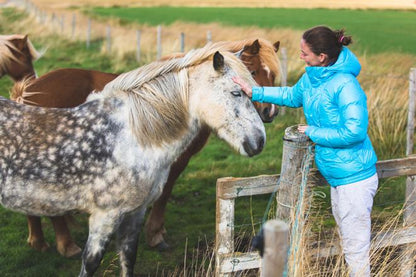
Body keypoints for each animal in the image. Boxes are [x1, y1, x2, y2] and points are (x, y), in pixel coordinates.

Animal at [10, 37, 282, 256]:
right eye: (252, 71)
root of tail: (28, 92)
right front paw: (155, 235)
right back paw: (67, 246)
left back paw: (38, 240)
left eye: (272, 75)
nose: (270, 112)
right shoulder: (173, 162)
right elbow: (163, 194)